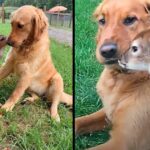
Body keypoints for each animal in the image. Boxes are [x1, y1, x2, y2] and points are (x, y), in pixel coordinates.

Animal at [75, 0, 150, 149]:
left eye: (130, 19)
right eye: (102, 21)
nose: (106, 51)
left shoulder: (123, 143)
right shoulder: (108, 111)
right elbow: (79, 121)